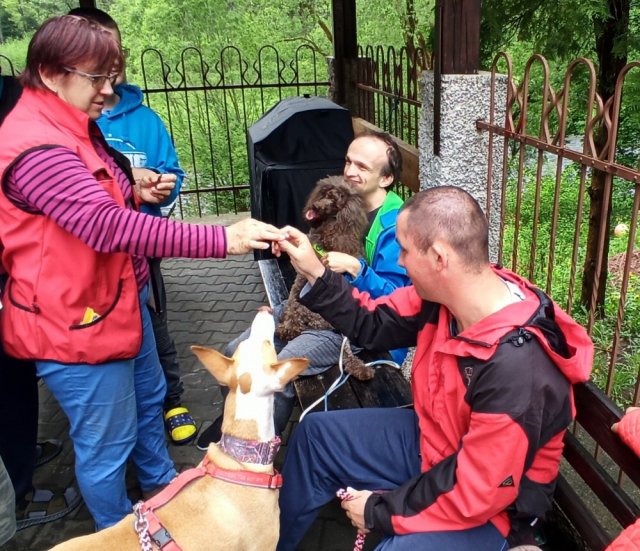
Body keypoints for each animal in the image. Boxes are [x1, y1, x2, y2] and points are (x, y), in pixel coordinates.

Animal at [276, 175, 375, 380]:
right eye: (326, 194)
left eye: (335, 203)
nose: (316, 206)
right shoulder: (301, 278)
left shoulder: (304, 276)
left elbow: (292, 302)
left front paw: (286, 327)